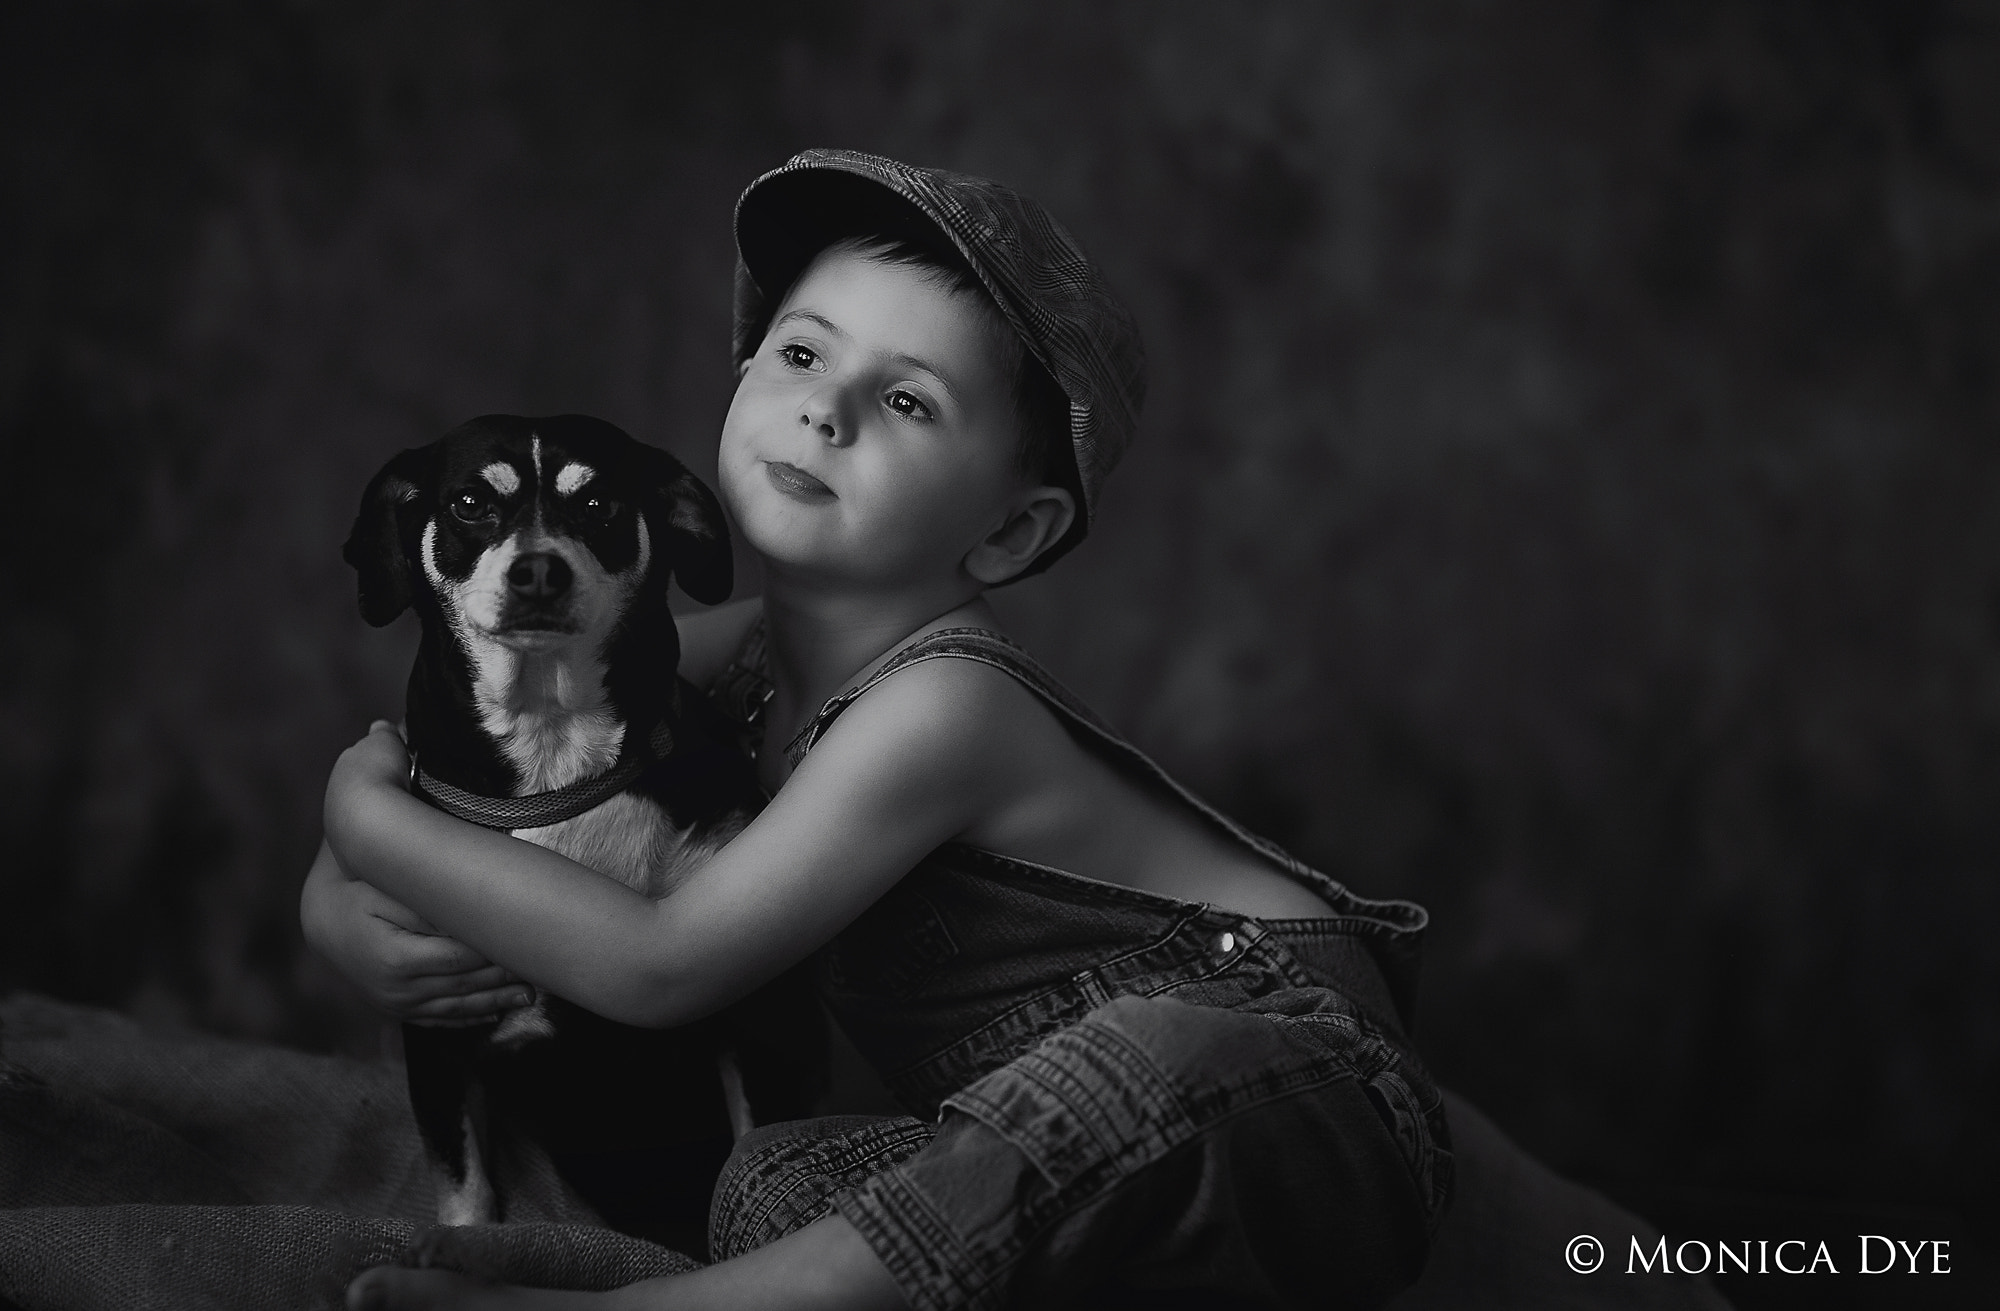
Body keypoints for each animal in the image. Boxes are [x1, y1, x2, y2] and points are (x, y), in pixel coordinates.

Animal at [344, 415, 820, 1247]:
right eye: (469, 503)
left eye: (599, 502)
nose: (538, 570)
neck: (556, 767)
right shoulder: (436, 1032)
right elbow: (464, 1188)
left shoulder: (754, 1016)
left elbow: (756, 1146)